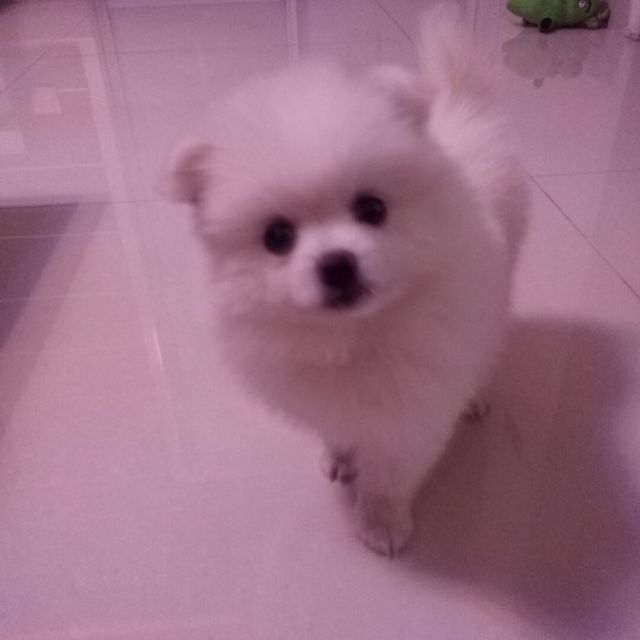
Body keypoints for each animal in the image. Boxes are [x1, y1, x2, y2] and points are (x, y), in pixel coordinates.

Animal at [169, 9, 528, 556]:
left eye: (372, 208)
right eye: (277, 237)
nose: (336, 263)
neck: (353, 335)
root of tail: (458, 100)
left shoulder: (409, 413)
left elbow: (389, 474)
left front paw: (380, 521)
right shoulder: (323, 396)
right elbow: (337, 429)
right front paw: (339, 457)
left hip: (499, 284)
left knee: (489, 341)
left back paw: (477, 396)